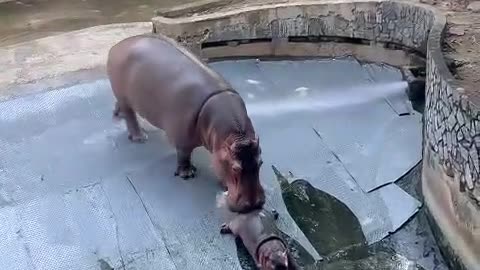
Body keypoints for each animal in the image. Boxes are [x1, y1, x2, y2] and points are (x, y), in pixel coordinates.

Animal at [106, 34, 266, 213]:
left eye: (260, 162)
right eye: (235, 168)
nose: (253, 205)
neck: (234, 135)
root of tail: (117, 45)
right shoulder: (182, 138)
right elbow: (184, 155)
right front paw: (188, 174)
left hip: (123, 97)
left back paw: (117, 114)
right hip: (123, 95)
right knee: (130, 116)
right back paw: (140, 138)